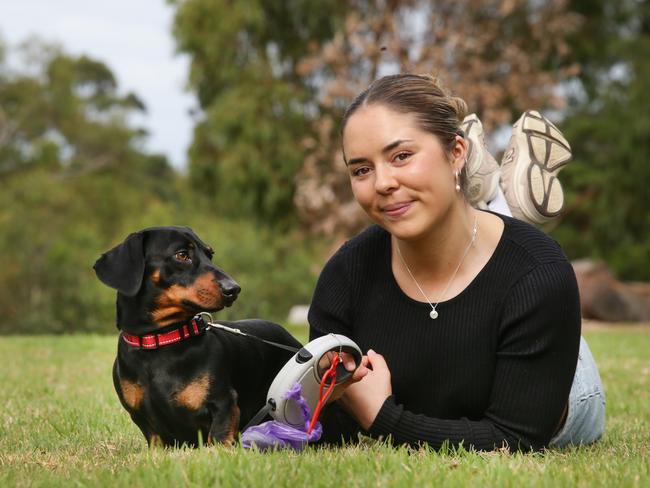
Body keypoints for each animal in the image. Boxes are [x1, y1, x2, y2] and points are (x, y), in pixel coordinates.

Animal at [92, 227, 300, 448]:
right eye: (182, 255)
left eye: (210, 254)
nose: (234, 289)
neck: (159, 341)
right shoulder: (143, 420)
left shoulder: (224, 406)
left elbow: (217, 439)